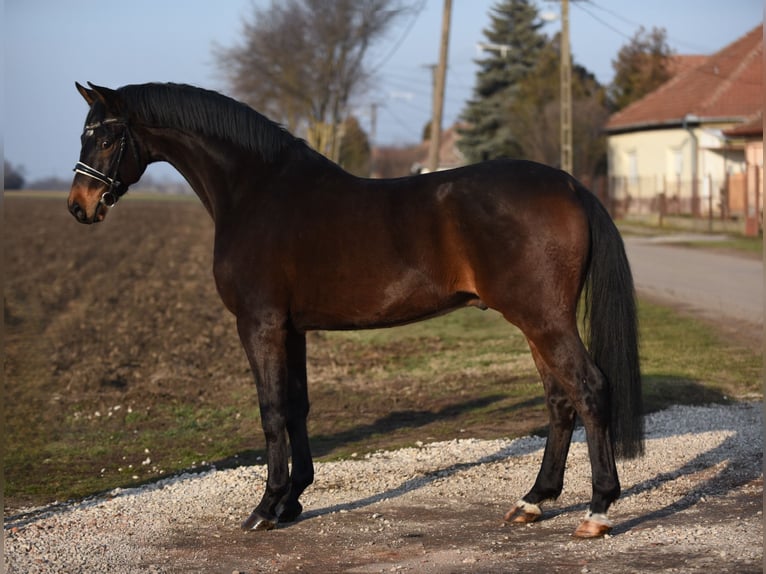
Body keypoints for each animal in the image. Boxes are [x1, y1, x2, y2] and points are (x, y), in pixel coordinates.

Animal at [69, 81, 644, 540]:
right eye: (85, 134)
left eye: (106, 137)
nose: (80, 205)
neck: (256, 191)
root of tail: (569, 184)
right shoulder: (292, 329)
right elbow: (296, 407)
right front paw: (293, 500)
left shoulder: (259, 324)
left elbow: (271, 411)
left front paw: (265, 508)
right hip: (535, 321)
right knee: (560, 400)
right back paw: (533, 501)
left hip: (543, 319)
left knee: (590, 390)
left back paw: (597, 511)